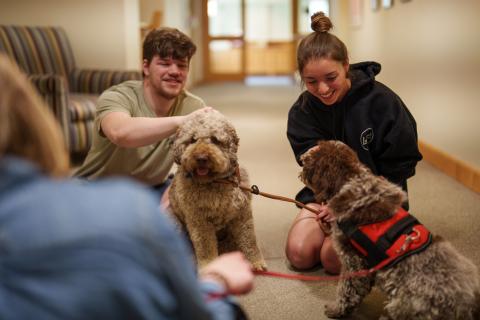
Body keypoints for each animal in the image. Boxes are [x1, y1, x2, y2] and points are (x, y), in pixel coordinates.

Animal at [169, 111, 266, 272]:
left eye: (214, 139)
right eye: (192, 140)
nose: (201, 158)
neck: (215, 182)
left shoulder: (242, 214)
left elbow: (249, 239)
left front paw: (256, 261)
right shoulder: (199, 220)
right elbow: (205, 246)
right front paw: (209, 267)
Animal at [302, 141, 478, 320]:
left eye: (309, 160)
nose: (302, 158)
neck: (353, 180)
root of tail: (465, 306)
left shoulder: (353, 261)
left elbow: (347, 290)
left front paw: (337, 309)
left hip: (400, 306)